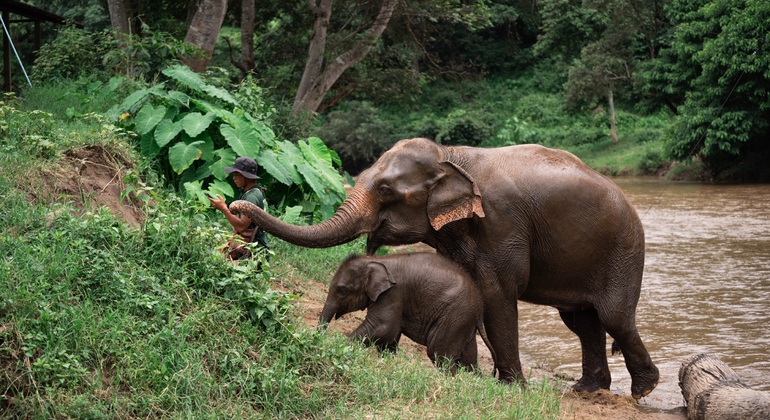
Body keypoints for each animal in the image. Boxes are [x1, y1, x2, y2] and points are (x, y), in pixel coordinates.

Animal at [319, 252, 495, 375]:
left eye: (342, 290)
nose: (320, 338)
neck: (376, 259)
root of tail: (479, 307)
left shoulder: (392, 294)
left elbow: (383, 327)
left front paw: (340, 344)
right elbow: (389, 338)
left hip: (455, 316)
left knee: (439, 354)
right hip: (464, 322)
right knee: (468, 362)